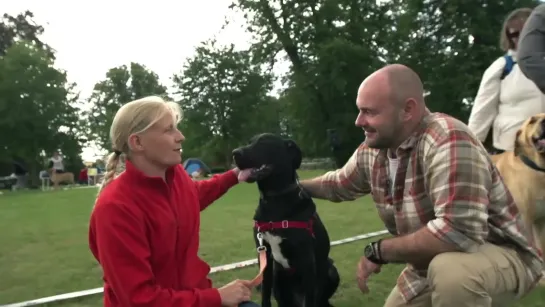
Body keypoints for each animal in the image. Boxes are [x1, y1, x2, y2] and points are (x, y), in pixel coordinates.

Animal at [231, 134, 340, 307]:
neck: (275, 201)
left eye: (264, 142)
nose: (235, 153)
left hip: (331, 270)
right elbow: (265, 294)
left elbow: (310, 299)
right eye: (249, 142)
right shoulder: (265, 256)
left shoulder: (307, 261)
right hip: (278, 276)